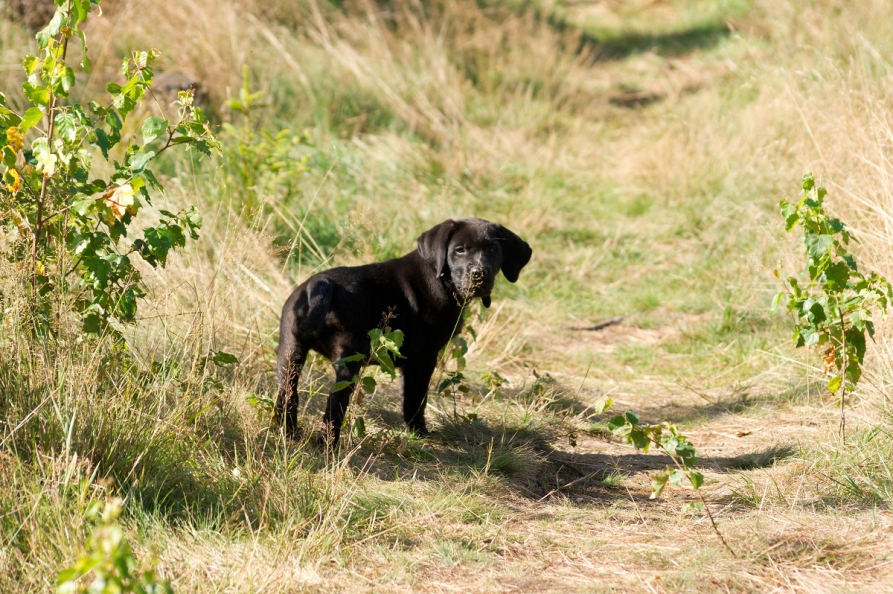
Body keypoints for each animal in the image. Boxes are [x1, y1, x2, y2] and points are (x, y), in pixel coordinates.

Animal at [276, 217, 532, 444]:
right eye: (459, 250)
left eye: (492, 249)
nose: (479, 273)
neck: (442, 280)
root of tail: (320, 285)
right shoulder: (423, 357)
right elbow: (415, 397)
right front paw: (418, 432)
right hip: (349, 359)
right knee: (335, 404)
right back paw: (327, 444)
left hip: (290, 351)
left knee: (287, 395)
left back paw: (287, 433)